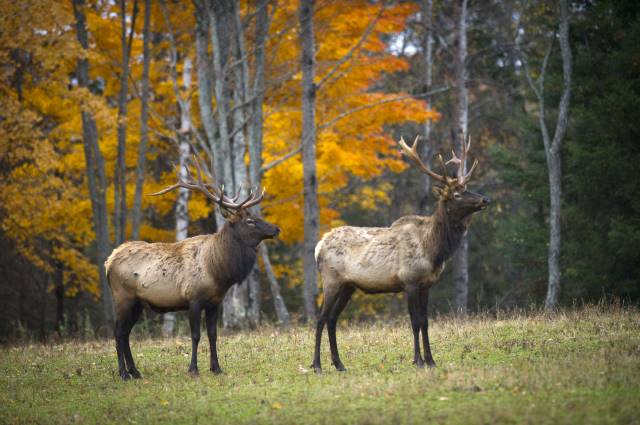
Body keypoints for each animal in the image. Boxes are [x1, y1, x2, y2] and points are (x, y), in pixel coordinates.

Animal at [105, 158, 279, 380]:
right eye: (250, 221)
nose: (276, 228)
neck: (218, 272)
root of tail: (108, 262)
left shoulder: (215, 302)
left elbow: (213, 334)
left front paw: (216, 368)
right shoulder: (193, 299)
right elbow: (196, 335)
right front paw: (193, 369)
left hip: (137, 303)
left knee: (125, 333)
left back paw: (135, 372)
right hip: (123, 297)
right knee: (118, 332)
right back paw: (123, 373)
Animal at [311, 135, 490, 373]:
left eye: (468, 187)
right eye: (457, 193)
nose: (485, 199)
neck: (433, 250)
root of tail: (319, 245)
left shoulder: (426, 285)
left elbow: (425, 321)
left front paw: (431, 360)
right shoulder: (409, 280)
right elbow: (415, 321)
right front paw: (418, 361)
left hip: (348, 285)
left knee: (332, 318)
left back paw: (339, 364)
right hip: (331, 279)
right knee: (321, 317)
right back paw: (316, 365)